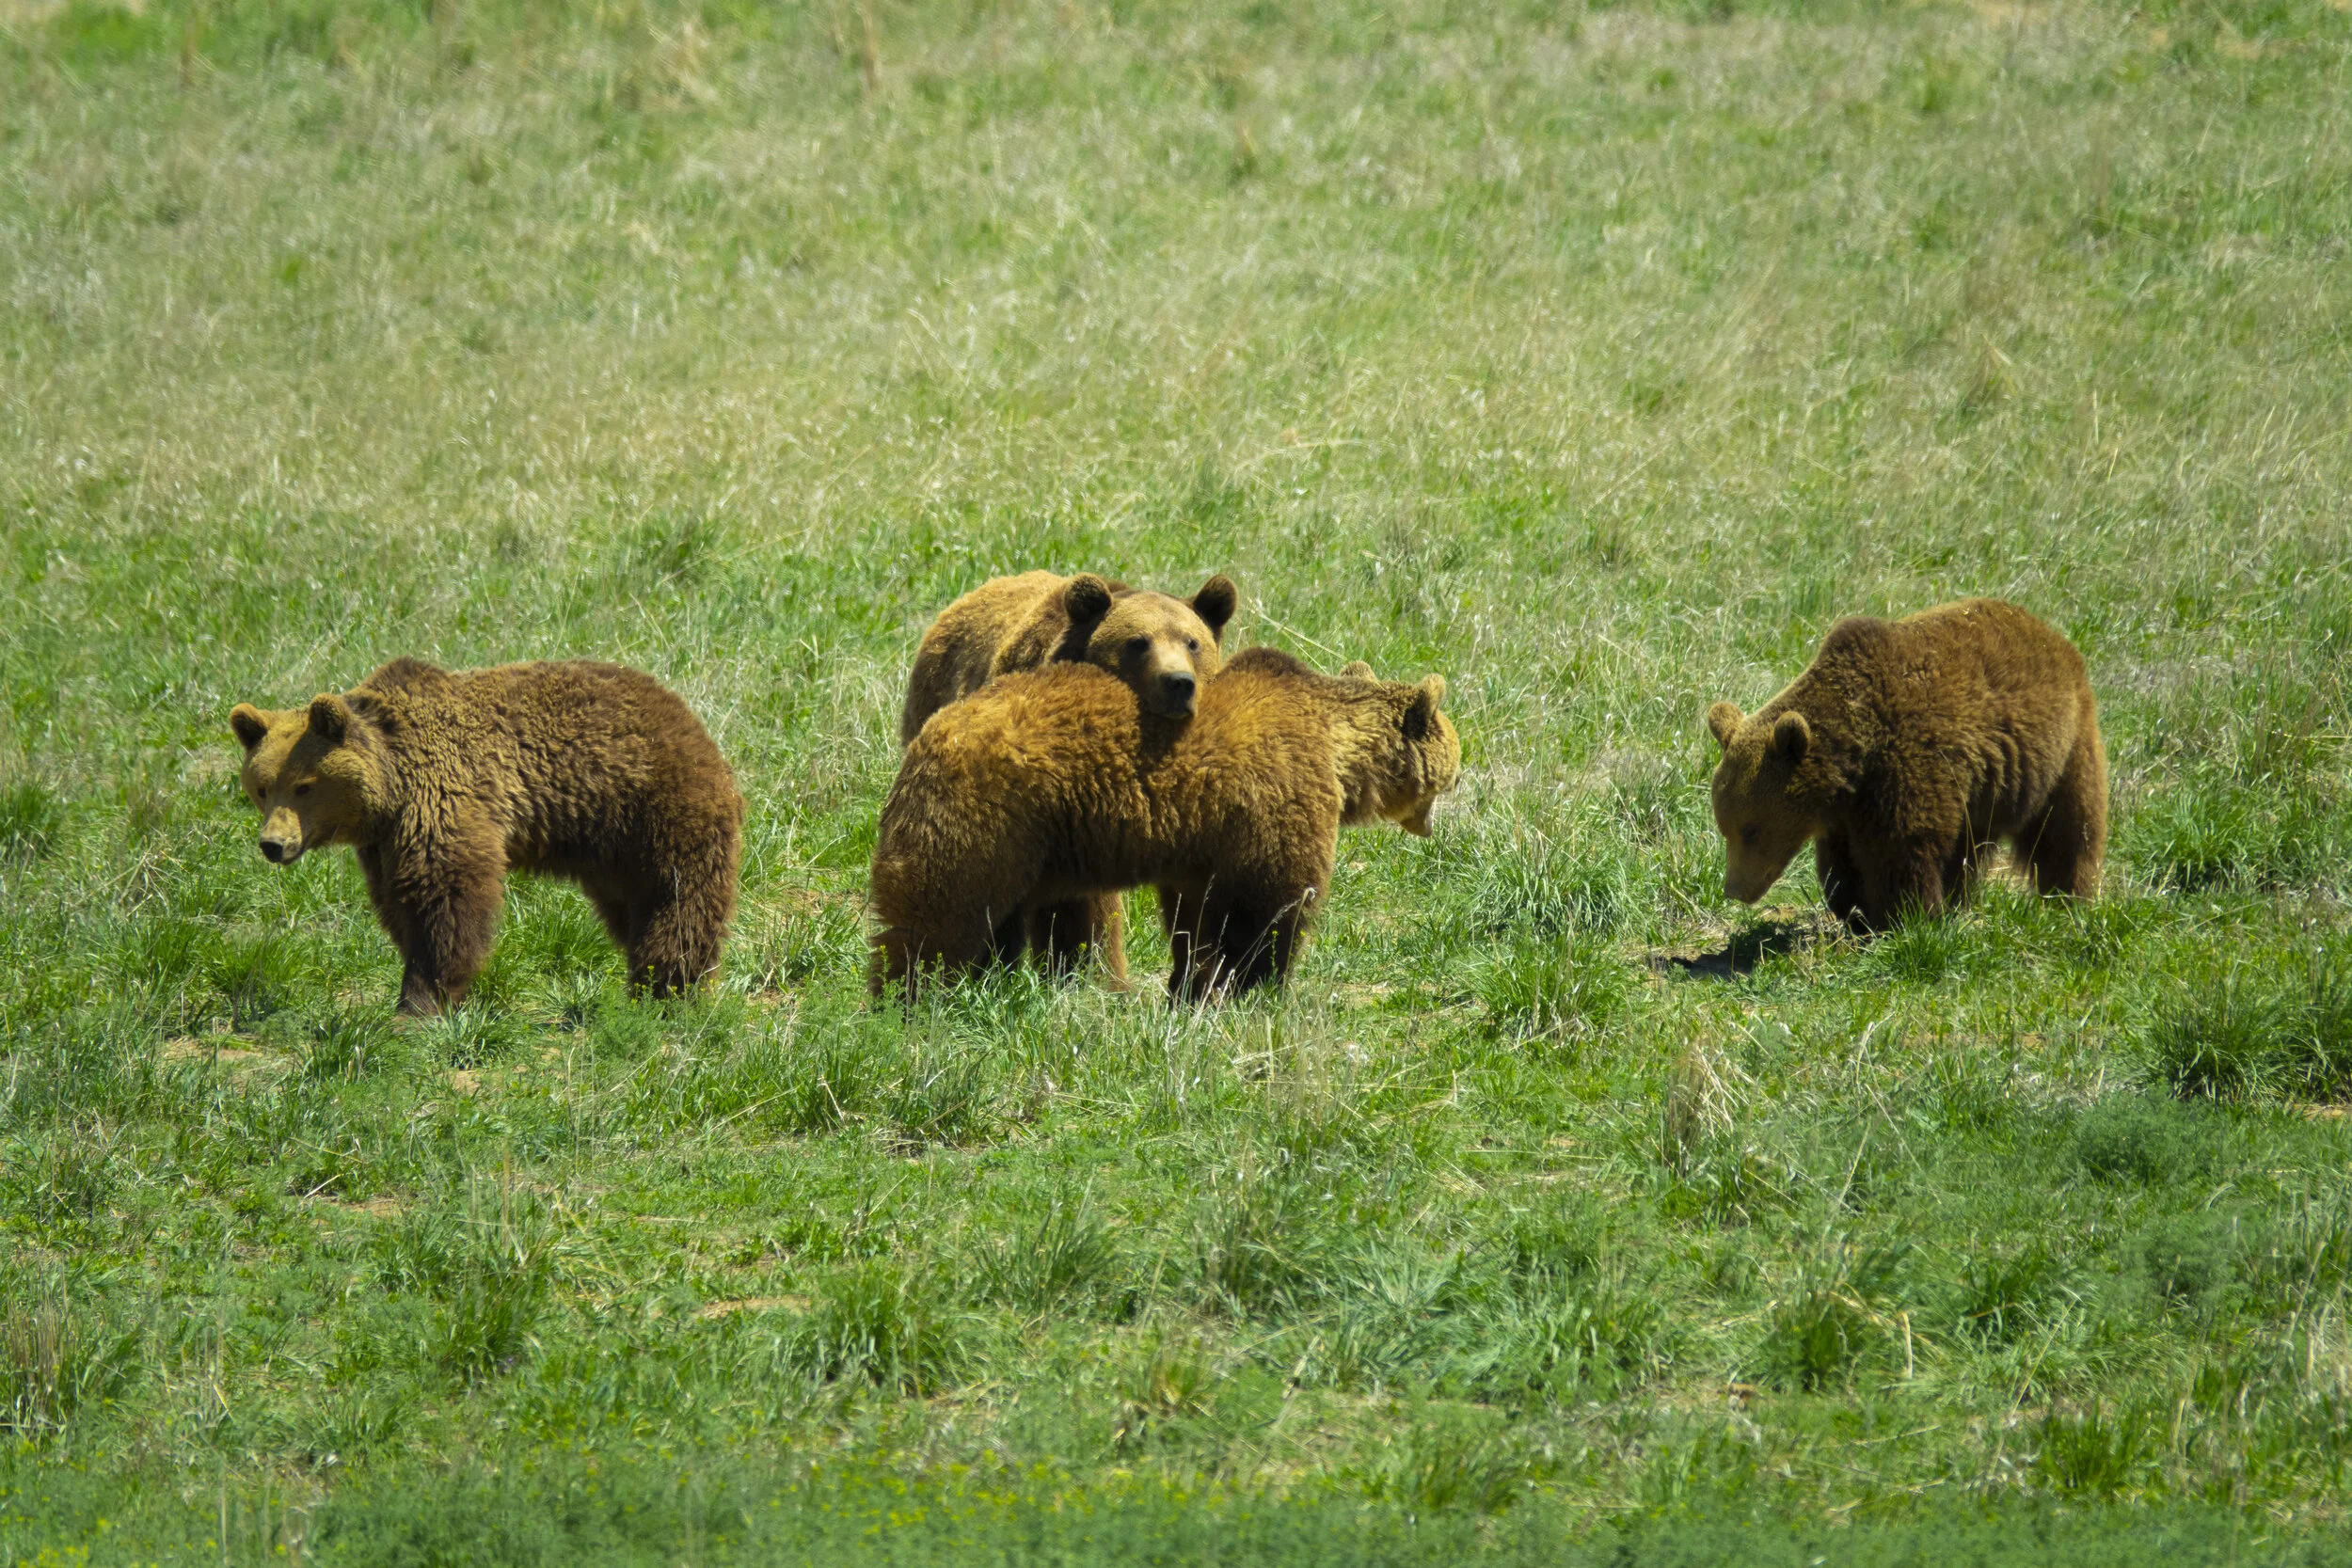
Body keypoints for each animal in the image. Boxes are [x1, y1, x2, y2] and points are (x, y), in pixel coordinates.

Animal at [231, 658, 744, 1015]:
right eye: (261, 787)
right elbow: (400, 907)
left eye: (303, 785)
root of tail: (685, 712)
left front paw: (421, 1001)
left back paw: (670, 985)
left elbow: (445, 900)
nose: (273, 844)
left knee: (675, 894)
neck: (392, 784)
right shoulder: (384, 844)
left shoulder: (441, 799)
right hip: (609, 846)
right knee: (632, 904)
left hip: (655, 802)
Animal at [869, 647, 1460, 1002]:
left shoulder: (1202, 844)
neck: (1339, 753)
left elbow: (1196, 922)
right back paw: (908, 1001)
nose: (1457, 779)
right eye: (1455, 759)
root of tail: (930, 736)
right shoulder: (1277, 801)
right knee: (938, 920)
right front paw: (1257, 988)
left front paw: (1191, 989)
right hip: (989, 821)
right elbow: (1271, 906)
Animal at [1704, 597, 2106, 932]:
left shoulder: (1909, 766)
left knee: (2068, 827)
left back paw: (2068, 898)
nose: (1735, 889)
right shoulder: (1848, 808)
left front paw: (1903, 916)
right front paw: (1855, 908)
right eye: (1726, 827)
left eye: (1751, 829)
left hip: (2064, 745)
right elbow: (1843, 863)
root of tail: (2049, 632)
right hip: (1987, 788)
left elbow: (1902, 851)